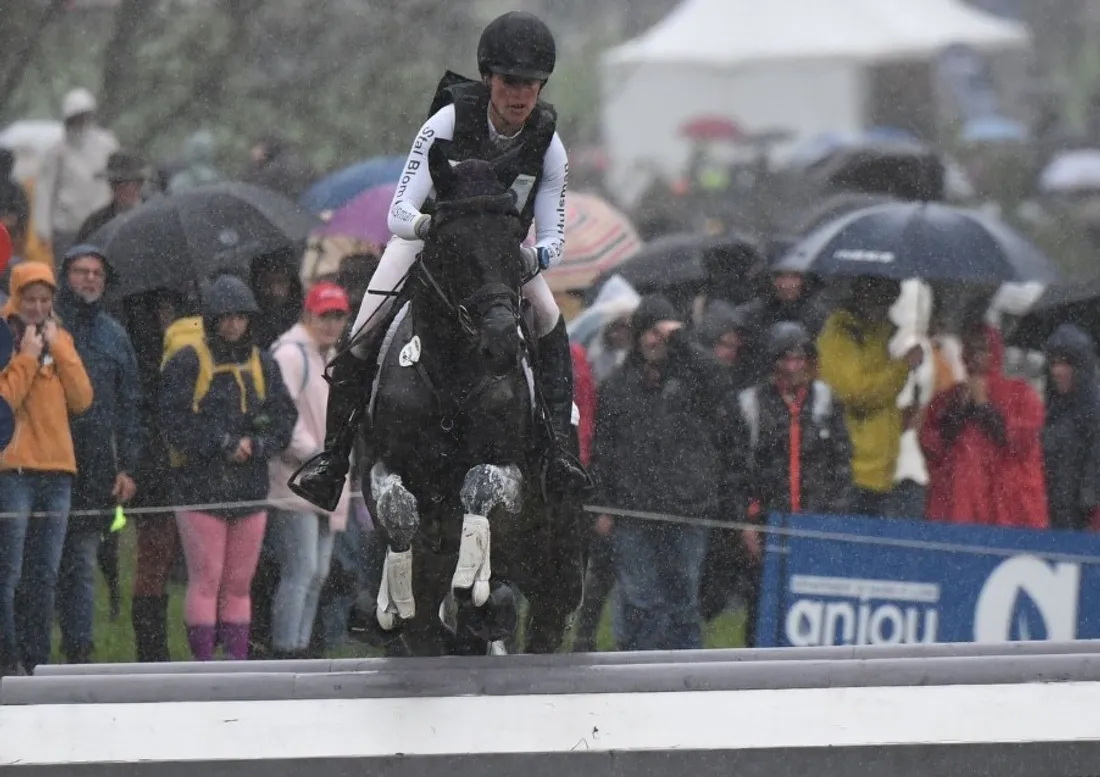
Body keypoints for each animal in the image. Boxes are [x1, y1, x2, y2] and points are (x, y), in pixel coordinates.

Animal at [358, 140, 585, 651]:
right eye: (449, 242)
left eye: (513, 239)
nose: (500, 343)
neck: (451, 381)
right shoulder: (383, 465)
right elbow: (398, 510)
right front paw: (396, 593)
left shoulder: (513, 473)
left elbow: (478, 485)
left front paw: (471, 574)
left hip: (555, 579)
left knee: (544, 619)